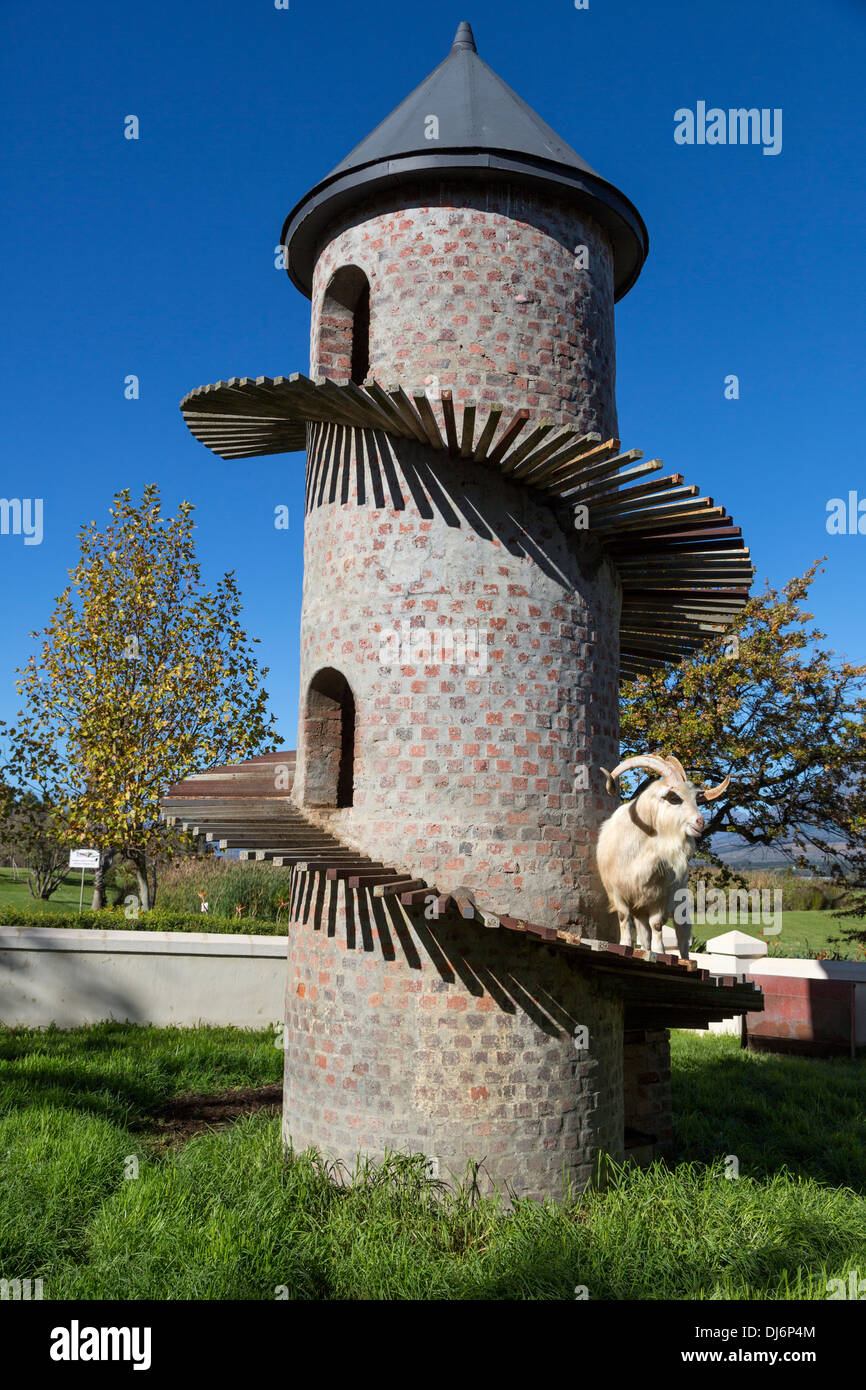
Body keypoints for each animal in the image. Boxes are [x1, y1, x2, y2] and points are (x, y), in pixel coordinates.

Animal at [592, 756, 728, 961]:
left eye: (696, 799)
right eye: (674, 798)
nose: (700, 822)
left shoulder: (661, 897)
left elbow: (657, 925)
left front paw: (660, 952)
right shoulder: (618, 892)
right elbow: (624, 919)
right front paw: (625, 945)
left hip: (680, 906)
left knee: (682, 938)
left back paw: (685, 959)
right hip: (641, 910)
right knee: (644, 934)